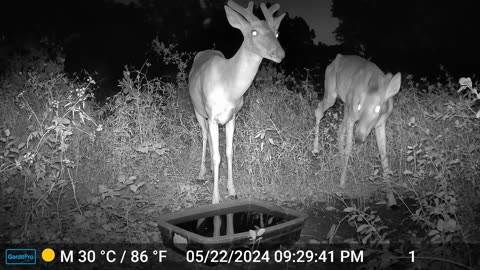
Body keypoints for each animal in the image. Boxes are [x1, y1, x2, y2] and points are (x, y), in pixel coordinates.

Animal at [188, 0, 284, 236]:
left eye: (277, 32)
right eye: (254, 31)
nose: (280, 53)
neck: (229, 87)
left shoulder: (232, 117)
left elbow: (229, 153)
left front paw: (231, 190)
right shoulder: (213, 116)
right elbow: (217, 156)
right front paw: (215, 198)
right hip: (198, 110)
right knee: (204, 137)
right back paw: (201, 172)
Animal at [312, 54, 402, 207]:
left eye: (378, 108)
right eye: (359, 106)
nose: (359, 137)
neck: (374, 84)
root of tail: (338, 57)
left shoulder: (381, 123)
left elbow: (384, 155)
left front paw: (391, 198)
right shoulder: (353, 116)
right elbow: (349, 148)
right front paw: (342, 184)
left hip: (345, 105)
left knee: (339, 131)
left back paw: (339, 159)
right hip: (332, 92)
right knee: (318, 111)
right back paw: (316, 148)